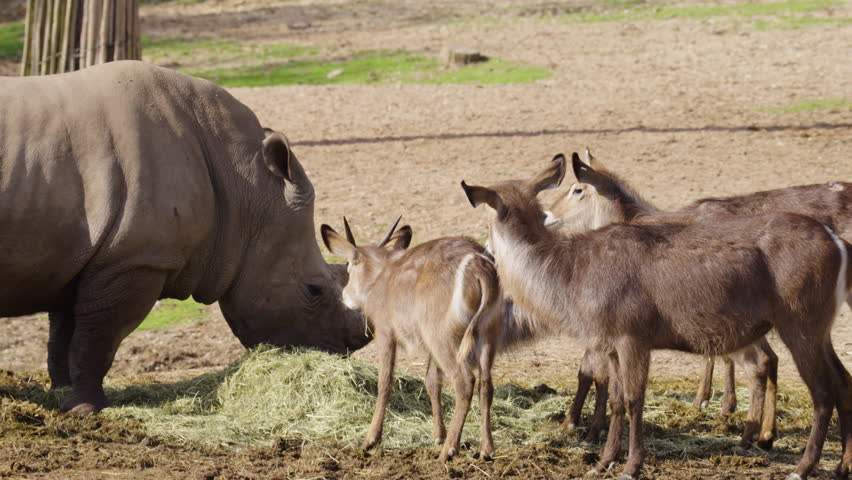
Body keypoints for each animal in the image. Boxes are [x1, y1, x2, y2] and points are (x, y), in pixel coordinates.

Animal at [0, 61, 369, 414]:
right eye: (314, 289)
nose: (340, 352)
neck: (246, 189)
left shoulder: (84, 256)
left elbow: (63, 334)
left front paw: (62, 395)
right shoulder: (135, 259)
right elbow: (97, 338)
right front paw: (87, 409)